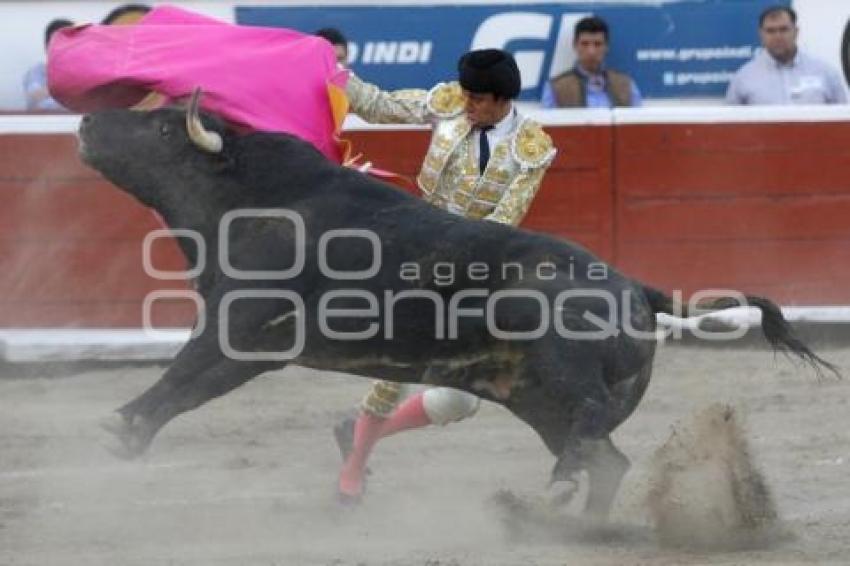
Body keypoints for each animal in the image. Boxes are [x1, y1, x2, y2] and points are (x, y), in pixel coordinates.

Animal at [78, 92, 836, 520]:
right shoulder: (257, 348)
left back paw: (556, 493)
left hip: (560, 372)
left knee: (591, 428)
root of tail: (636, 287)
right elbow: (192, 388)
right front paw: (133, 434)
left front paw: (118, 425)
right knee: (605, 458)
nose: (85, 119)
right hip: (537, 400)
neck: (252, 195)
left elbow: (183, 370)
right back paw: (572, 518)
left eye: (166, 132)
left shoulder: (236, 322)